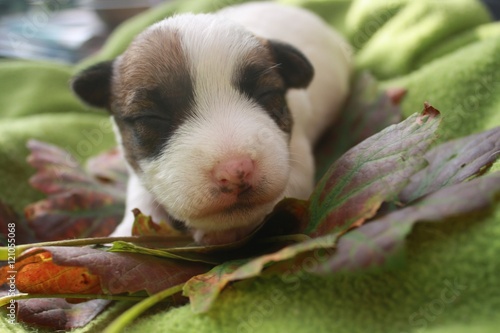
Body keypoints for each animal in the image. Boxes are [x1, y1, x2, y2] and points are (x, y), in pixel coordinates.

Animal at [71, 1, 352, 244]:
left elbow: (290, 187)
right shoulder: (137, 168)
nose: (235, 170)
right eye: (150, 117)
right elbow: (141, 198)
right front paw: (124, 232)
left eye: (267, 93)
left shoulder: (295, 156)